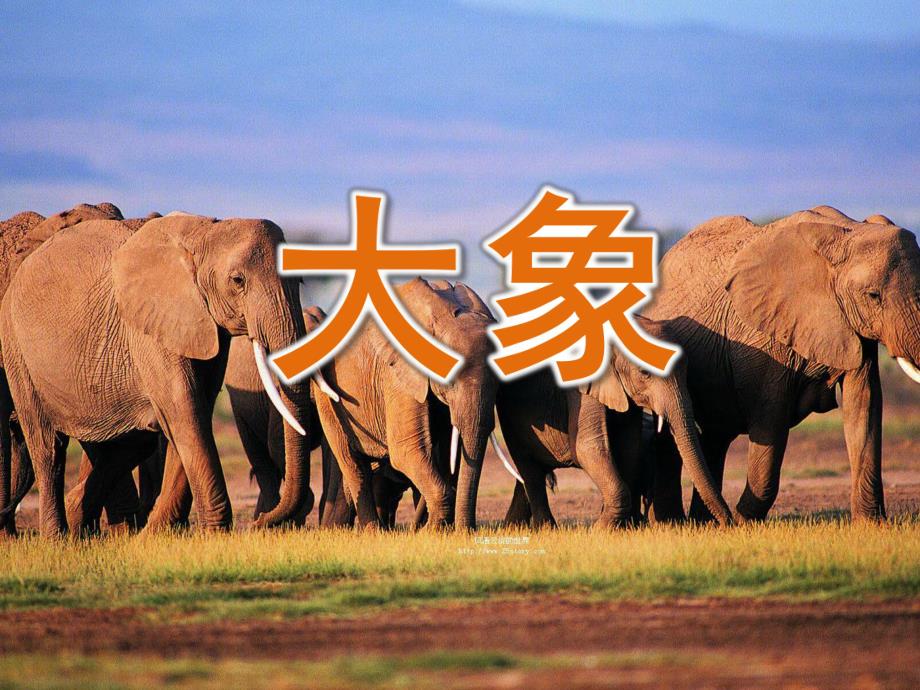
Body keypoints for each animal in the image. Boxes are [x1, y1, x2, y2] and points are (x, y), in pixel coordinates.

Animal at [0, 212, 312, 536]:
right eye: (238, 281)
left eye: (301, 281)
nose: (260, 522)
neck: (204, 233)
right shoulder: (150, 325)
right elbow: (184, 408)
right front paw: (215, 534)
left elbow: (196, 409)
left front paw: (155, 533)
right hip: (16, 349)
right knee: (48, 448)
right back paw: (58, 538)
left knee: (124, 443)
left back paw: (81, 524)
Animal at [313, 278, 501, 529]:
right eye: (450, 379)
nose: (467, 531)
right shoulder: (398, 375)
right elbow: (406, 450)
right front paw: (430, 532)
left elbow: (440, 451)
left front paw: (434, 529)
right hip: (325, 394)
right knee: (351, 460)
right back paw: (373, 531)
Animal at [499, 316, 733, 528]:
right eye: (645, 373)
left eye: (686, 371)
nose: (725, 524)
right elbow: (588, 447)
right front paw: (600, 531)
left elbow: (628, 446)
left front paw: (623, 528)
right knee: (529, 469)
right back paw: (544, 528)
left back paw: (515, 526)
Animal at [645, 206, 920, 522]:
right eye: (873, 296)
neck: (845, 232)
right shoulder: (762, 334)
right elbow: (770, 417)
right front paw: (744, 523)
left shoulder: (853, 326)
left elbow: (864, 404)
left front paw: (871, 525)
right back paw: (680, 522)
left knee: (716, 437)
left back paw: (704, 522)